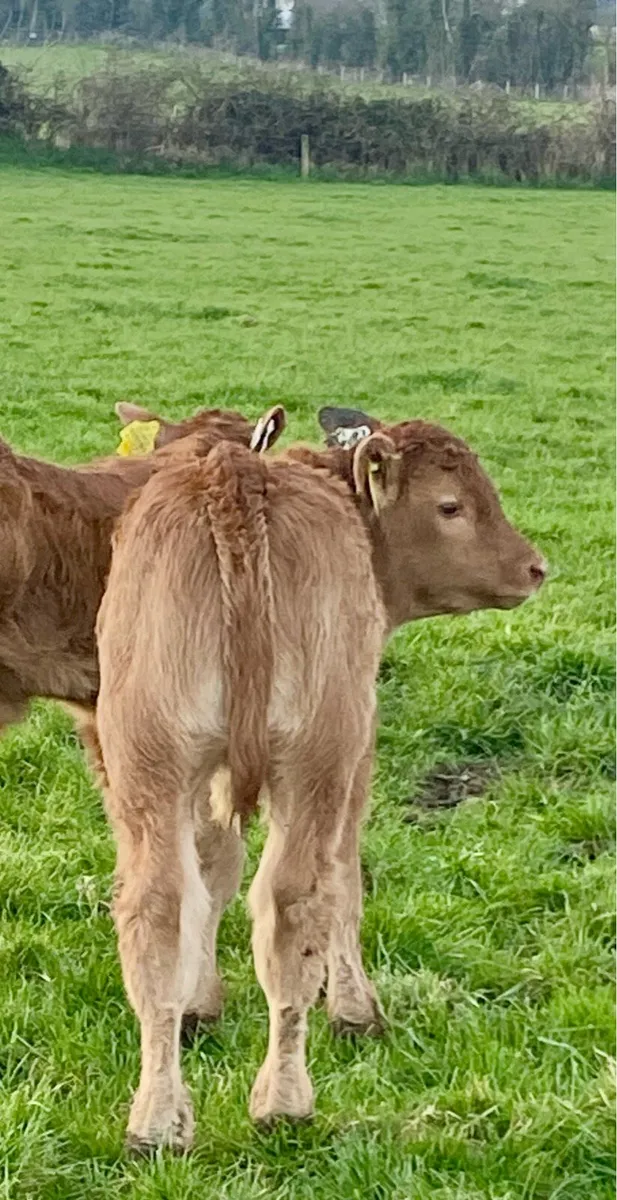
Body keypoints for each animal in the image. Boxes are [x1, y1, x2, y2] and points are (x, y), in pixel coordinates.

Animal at [94, 405, 546, 1151]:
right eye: (451, 505)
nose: (534, 567)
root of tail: (235, 479)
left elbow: (212, 875)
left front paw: (199, 1004)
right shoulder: (356, 753)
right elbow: (345, 883)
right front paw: (355, 1008)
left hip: (149, 757)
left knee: (157, 906)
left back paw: (156, 1121)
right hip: (315, 757)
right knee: (294, 902)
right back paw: (284, 1101)